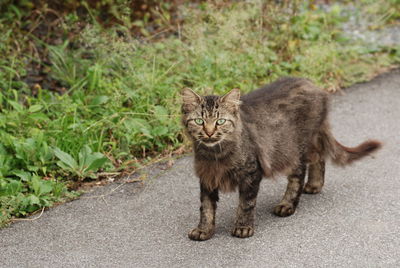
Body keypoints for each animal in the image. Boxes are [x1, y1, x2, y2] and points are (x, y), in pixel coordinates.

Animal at [181, 77, 382, 241]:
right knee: (319, 158)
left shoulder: (252, 172)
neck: (214, 154)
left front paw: (243, 227)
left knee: (299, 175)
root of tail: (313, 85)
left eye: (220, 121)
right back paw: (315, 185)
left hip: (295, 149)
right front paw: (204, 230)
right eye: (199, 121)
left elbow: (246, 204)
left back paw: (287, 204)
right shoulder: (207, 176)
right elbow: (206, 207)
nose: (209, 132)